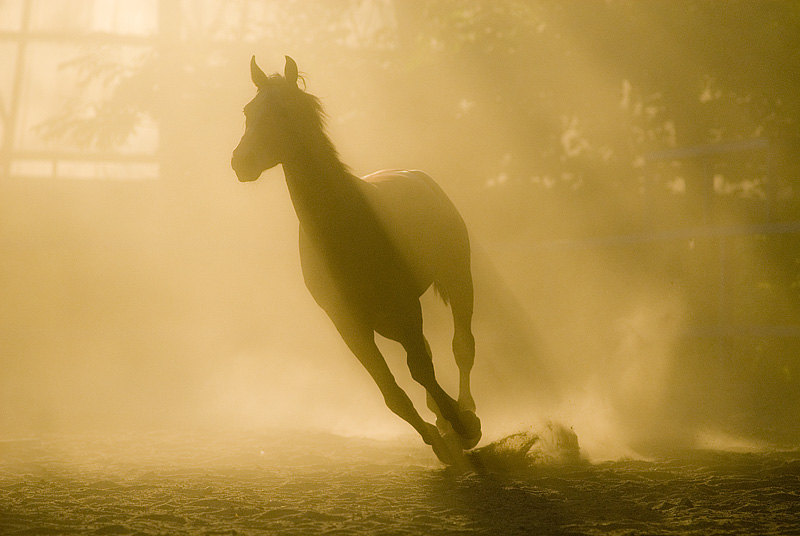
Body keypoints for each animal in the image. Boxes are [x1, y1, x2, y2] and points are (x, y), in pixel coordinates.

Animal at [231, 55, 482, 464]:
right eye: (249, 111)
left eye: (284, 113)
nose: (242, 161)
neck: (346, 225)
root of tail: (418, 176)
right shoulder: (347, 323)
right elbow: (391, 391)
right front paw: (440, 440)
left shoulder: (403, 308)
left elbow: (420, 370)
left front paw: (461, 427)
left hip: (457, 278)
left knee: (462, 347)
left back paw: (467, 412)